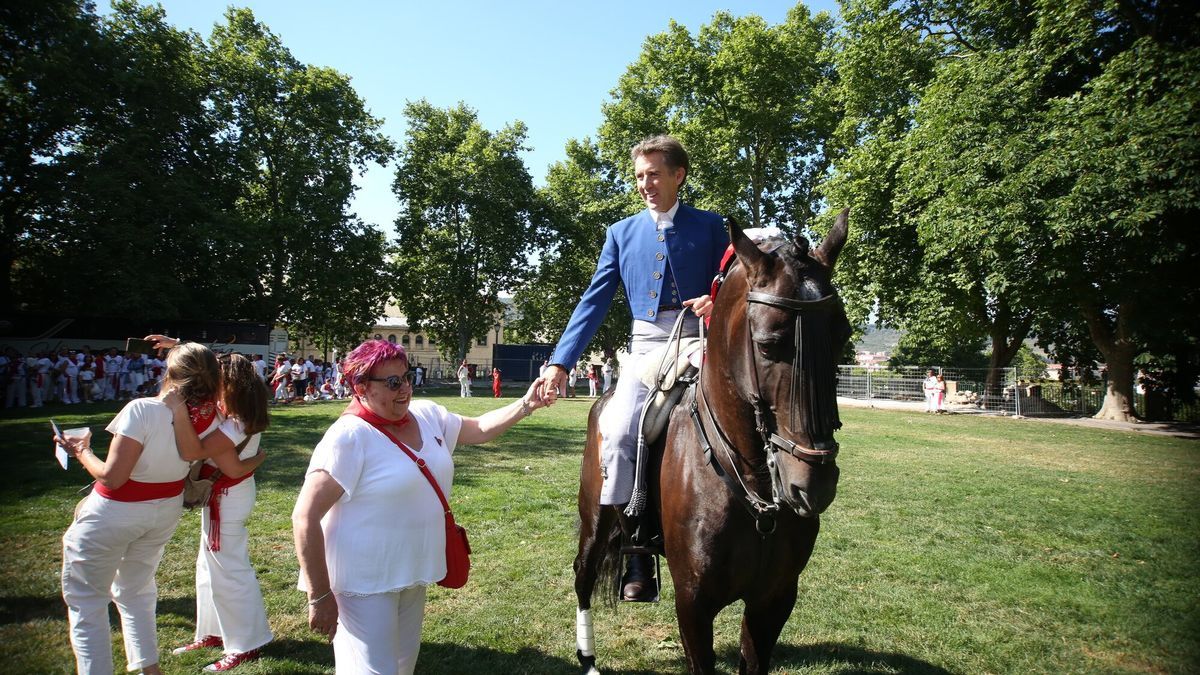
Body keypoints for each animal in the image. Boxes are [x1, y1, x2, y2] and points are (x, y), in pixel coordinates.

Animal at [573, 210, 849, 672]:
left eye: (842, 336)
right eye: (768, 343)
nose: (814, 484)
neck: (753, 481)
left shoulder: (773, 600)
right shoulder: (693, 605)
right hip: (596, 519)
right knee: (583, 574)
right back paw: (588, 657)